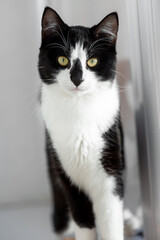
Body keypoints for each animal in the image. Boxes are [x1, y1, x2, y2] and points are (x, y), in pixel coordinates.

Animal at [38, 6, 124, 240]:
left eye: (92, 61)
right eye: (63, 60)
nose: (77, 78)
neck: (79, 111)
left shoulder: (111, 172)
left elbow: (111, 221)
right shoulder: (67, 177)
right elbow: (83, 221)